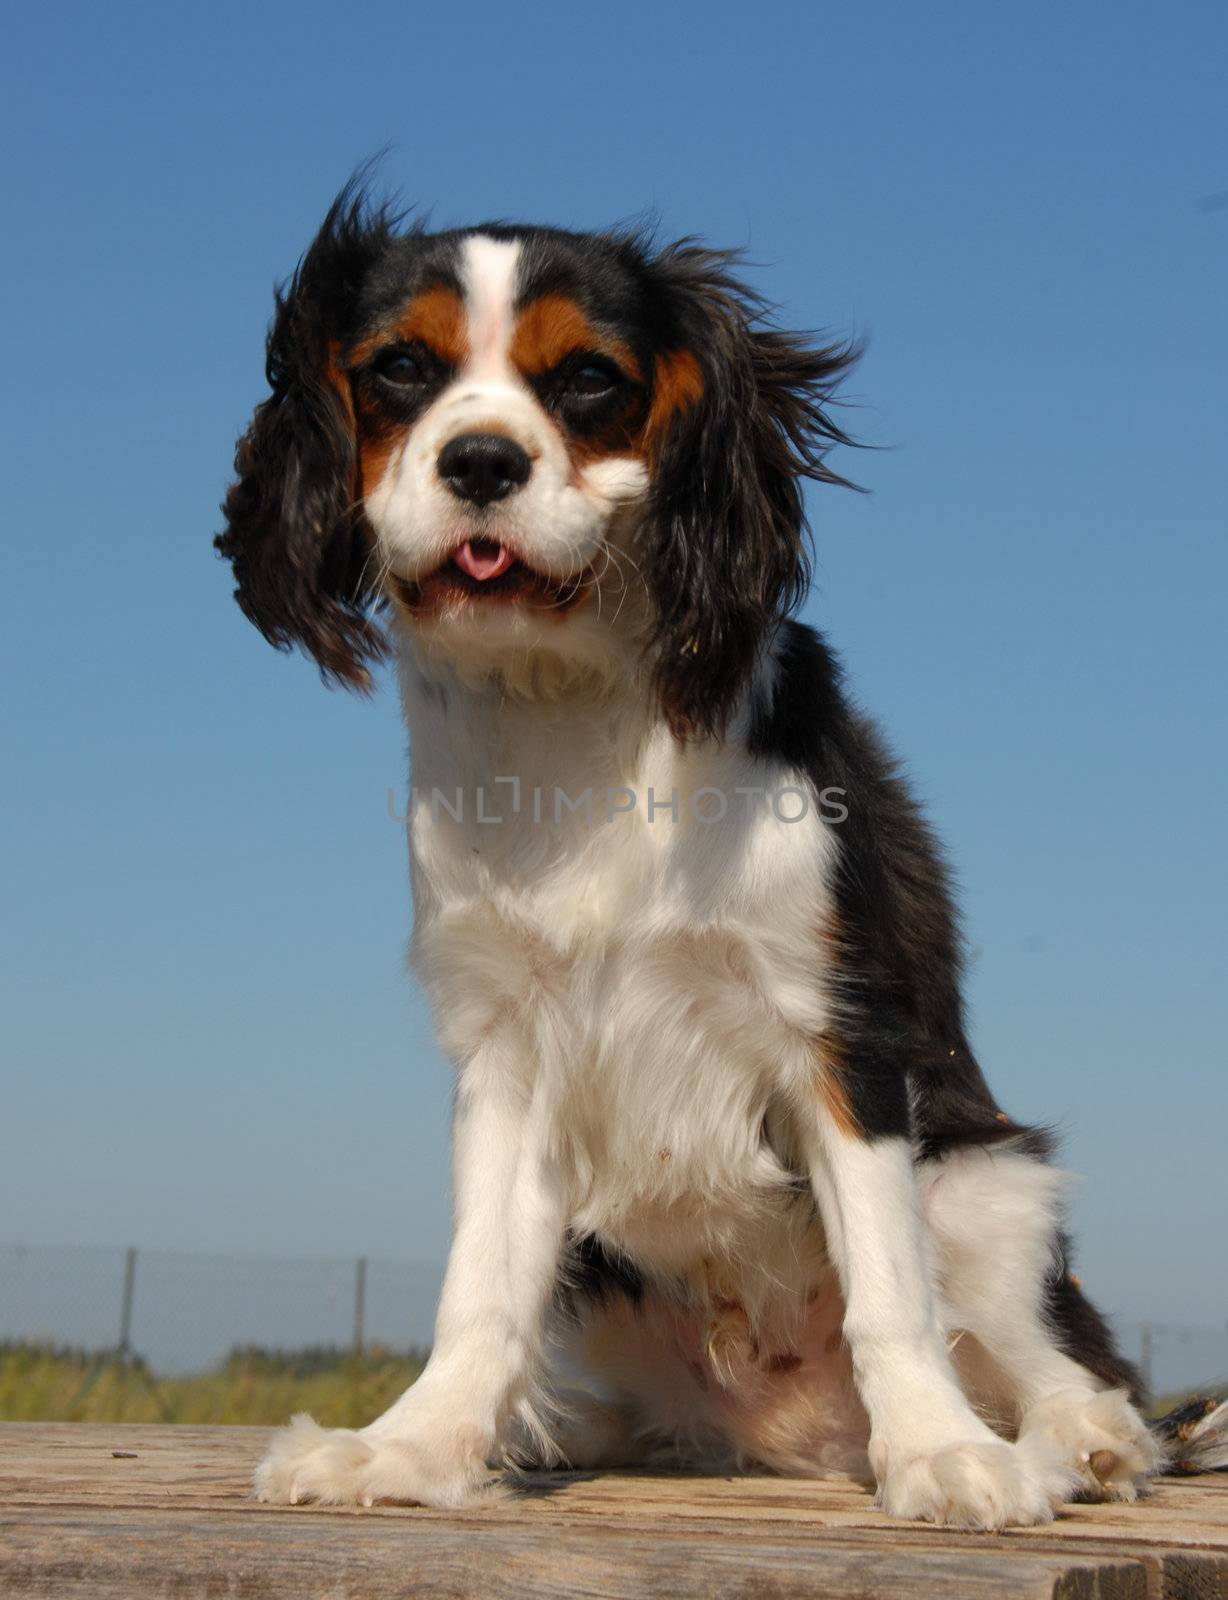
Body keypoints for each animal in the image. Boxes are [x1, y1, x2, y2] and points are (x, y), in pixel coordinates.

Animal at [215, 181, 1221, 1529]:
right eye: (400, 371)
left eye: (587, 380)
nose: (481, 460)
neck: (571, 703)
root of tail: (796, 1436)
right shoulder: (509, 1052)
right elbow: (479, 1288)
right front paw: (411, 1449)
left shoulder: (838, 1033)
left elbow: (890, 1288)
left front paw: (942, 1457)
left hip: (987, 1181)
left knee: (1068, 1359)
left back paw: (1078, 1442)